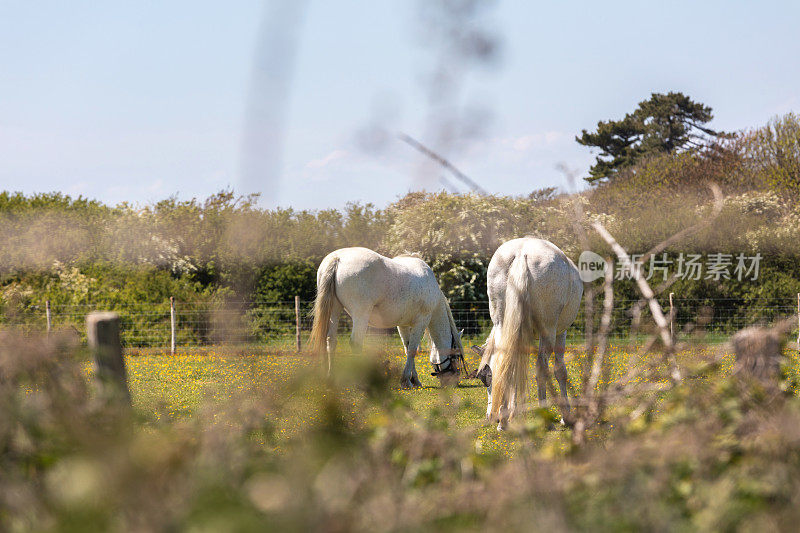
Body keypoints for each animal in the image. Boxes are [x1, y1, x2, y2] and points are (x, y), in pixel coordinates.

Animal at [308, 245, 468, 386]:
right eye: (456, 356)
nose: (455, 381)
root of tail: (337, 258)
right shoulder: (421, 321)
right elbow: (413, 350)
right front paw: (406, 380)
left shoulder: (403, 325)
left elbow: (407, 349)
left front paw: (413, 380)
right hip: (361, 315)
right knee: (356, 343)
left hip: (334, 310)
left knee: (331, 341)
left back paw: (330, 377)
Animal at [476, 239, 580, 430]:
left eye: (486, 378)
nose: (490, 417)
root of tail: (522, 252)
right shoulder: (561, 333)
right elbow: (560, 371)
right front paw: (566, 417)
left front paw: (513, 413)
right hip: (548, 331)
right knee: (542, 369)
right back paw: (546, 421)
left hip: (503, 325)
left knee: (507, 365)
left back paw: (503, 421)